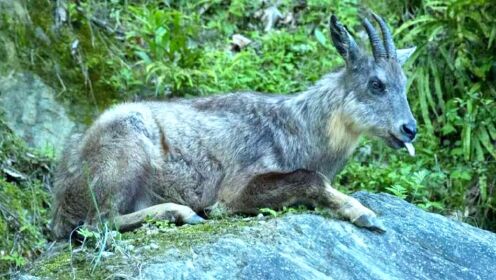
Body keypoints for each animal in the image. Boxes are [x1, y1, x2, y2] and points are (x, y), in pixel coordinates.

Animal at [50, 13, 416, 238]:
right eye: (376, 83)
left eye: (405, 83)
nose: (410, 128)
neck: (300, 130)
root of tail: (61, 189)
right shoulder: (234, 190)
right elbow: (309, 179)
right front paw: (364, 213)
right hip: (125, 153)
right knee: (96, 224)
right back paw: (183, 212)